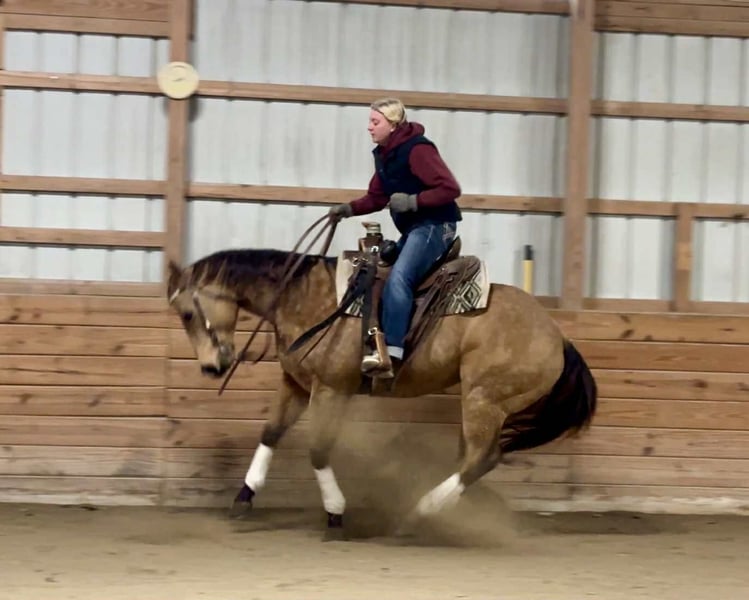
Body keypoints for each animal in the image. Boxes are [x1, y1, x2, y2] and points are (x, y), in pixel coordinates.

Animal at [166, 243, 597, 536]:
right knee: (471, 460)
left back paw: (419, 513)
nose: (212, 367)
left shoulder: (331, 389)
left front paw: (335, 511)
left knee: (482, 458)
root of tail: (558, 336)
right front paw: (244, 497)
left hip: (484, 399)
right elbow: (270, 433)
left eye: (187, 313)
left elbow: (318, 449)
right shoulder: (297, 385)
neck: (307, 299)